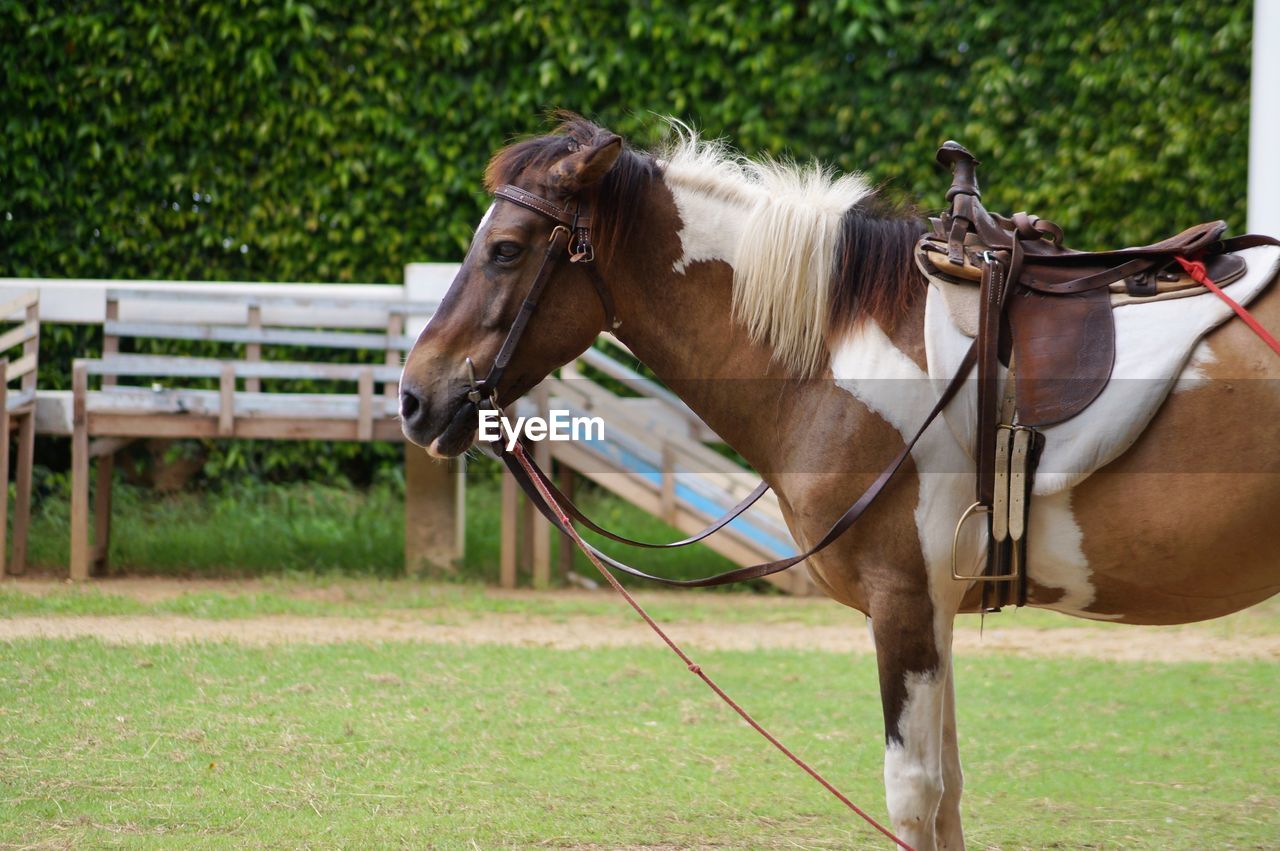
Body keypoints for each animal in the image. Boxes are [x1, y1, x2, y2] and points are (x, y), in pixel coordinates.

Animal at [394, 114, 1274, 849]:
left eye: (506, 249)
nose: (414, 396)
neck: (839, 349)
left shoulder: (904, 600)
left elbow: (915, 794)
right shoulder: (936, 608)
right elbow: (949, 795)